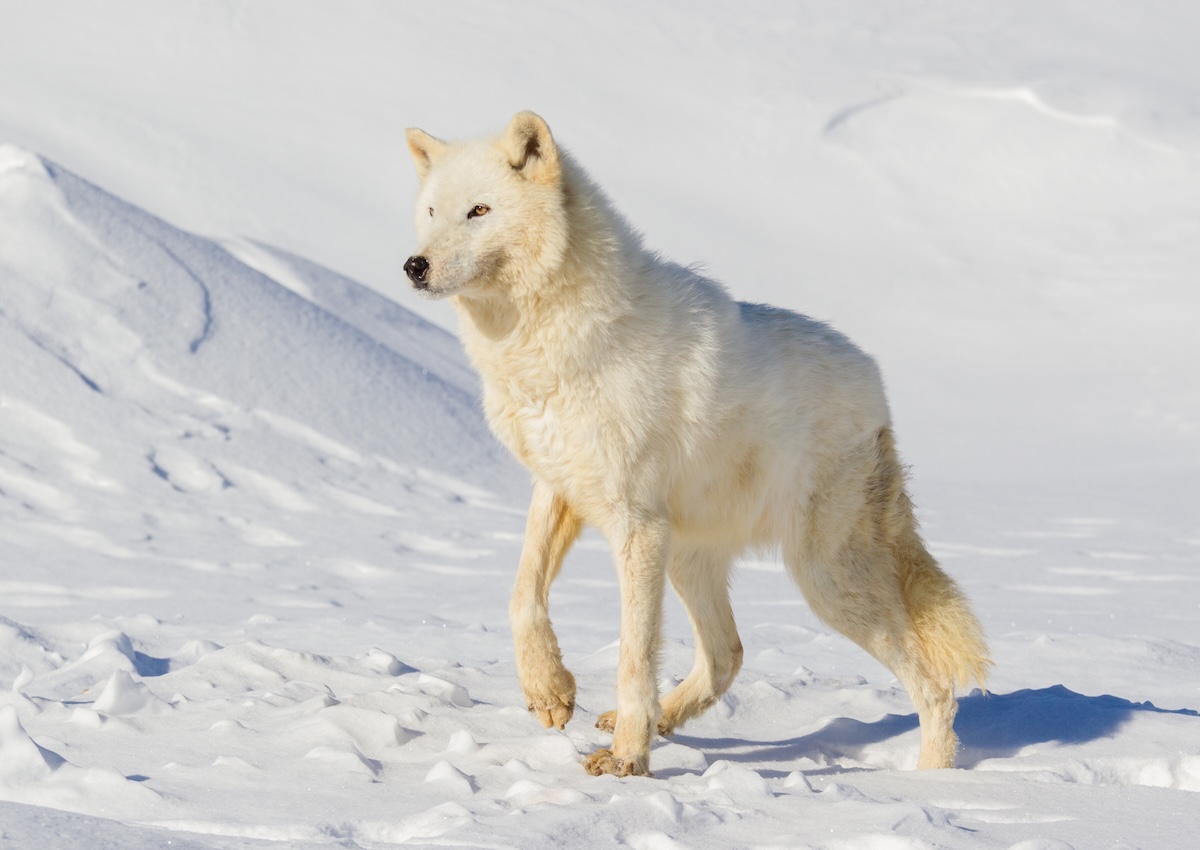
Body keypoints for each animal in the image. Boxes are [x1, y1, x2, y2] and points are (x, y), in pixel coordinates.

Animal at [402, 112, 989, 776]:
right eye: (431, 212)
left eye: (479, 210)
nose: (414, 265)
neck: (552, 346)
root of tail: (879, 391)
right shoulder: (559, 488)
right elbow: (522, 597)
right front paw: (551, 693)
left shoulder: (636, 526)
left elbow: (633, 654)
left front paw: (626, 762)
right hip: (691, 557)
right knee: (728, 653)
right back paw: (657, 718)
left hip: (822, 581)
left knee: (933, 684)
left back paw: (930, 781)